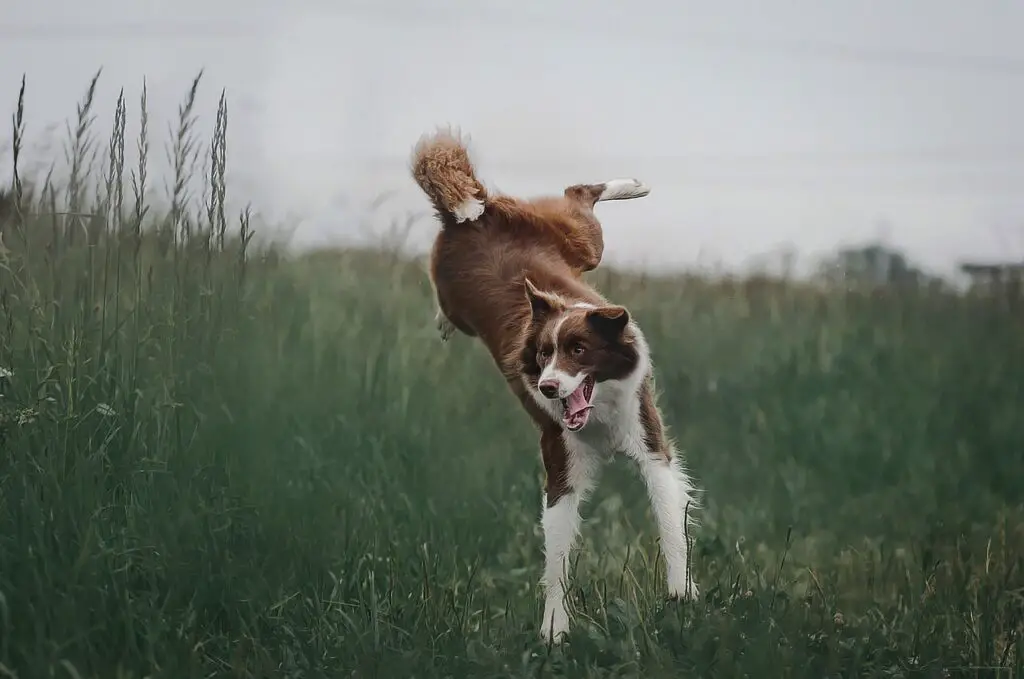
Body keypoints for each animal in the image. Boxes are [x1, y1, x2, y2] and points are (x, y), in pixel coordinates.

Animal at [411, 130, 700, 647]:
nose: (547, 387)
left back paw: (632, 184)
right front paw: (554, 631)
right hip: (484, 281)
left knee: (579, 196)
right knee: (571, 197)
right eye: (544, 354)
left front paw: (680, 591)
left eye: (579, 351)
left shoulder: (649, 440)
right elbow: (557, 556)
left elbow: (670, 518)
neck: (600, 415)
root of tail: (473, 215)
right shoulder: (560, 461)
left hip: (581, 243)